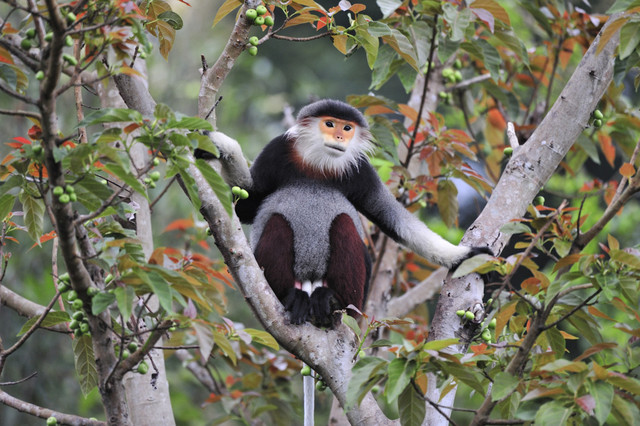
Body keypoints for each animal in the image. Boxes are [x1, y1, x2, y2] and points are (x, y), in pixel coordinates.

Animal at [204, 99, 490, 326]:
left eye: (347, 128)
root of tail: (311, 281)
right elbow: (246, 207)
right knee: (277, 222)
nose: (340, 138)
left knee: (343, 223)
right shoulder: (276, 151)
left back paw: (333, 301)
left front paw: (465, 256)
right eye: (330, 124)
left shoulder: (362, 172)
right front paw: (222, 146)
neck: (318, 166)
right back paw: (291, 297)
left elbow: (394, 220)